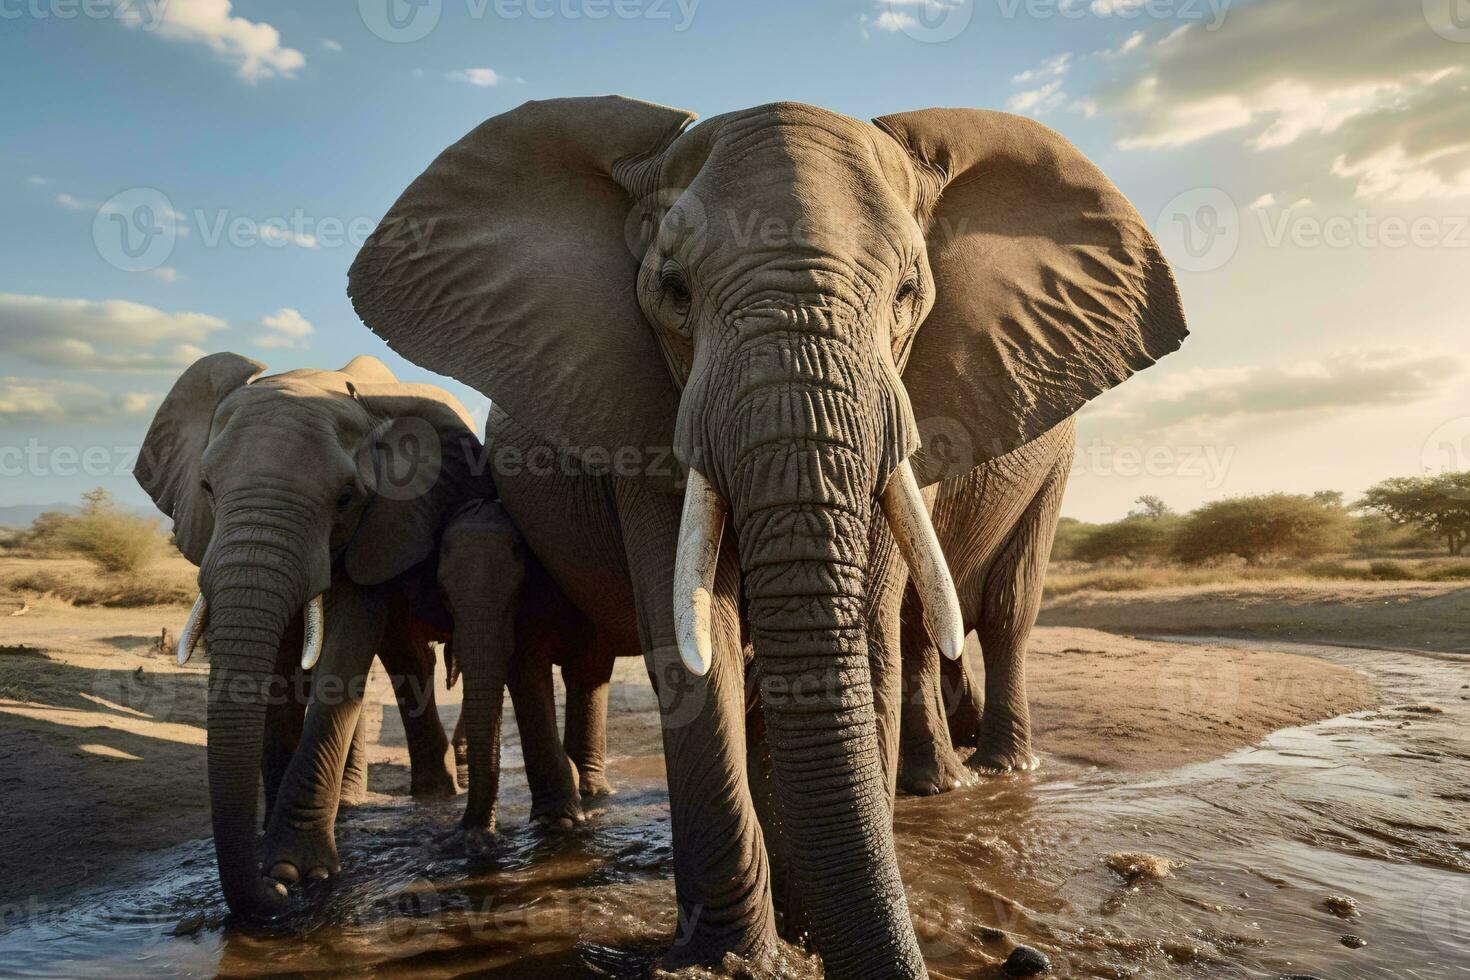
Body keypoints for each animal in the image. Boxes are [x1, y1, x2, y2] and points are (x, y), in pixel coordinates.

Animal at [346, 95, 1193, 975]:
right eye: (673, 291)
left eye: (908, 293)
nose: (1023, 959)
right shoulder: (640, 408)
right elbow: (698, 639)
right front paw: (736, 955)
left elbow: (868, 633)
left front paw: (802, 930)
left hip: (1056, 464)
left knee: (999, 612)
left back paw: (985, 775)